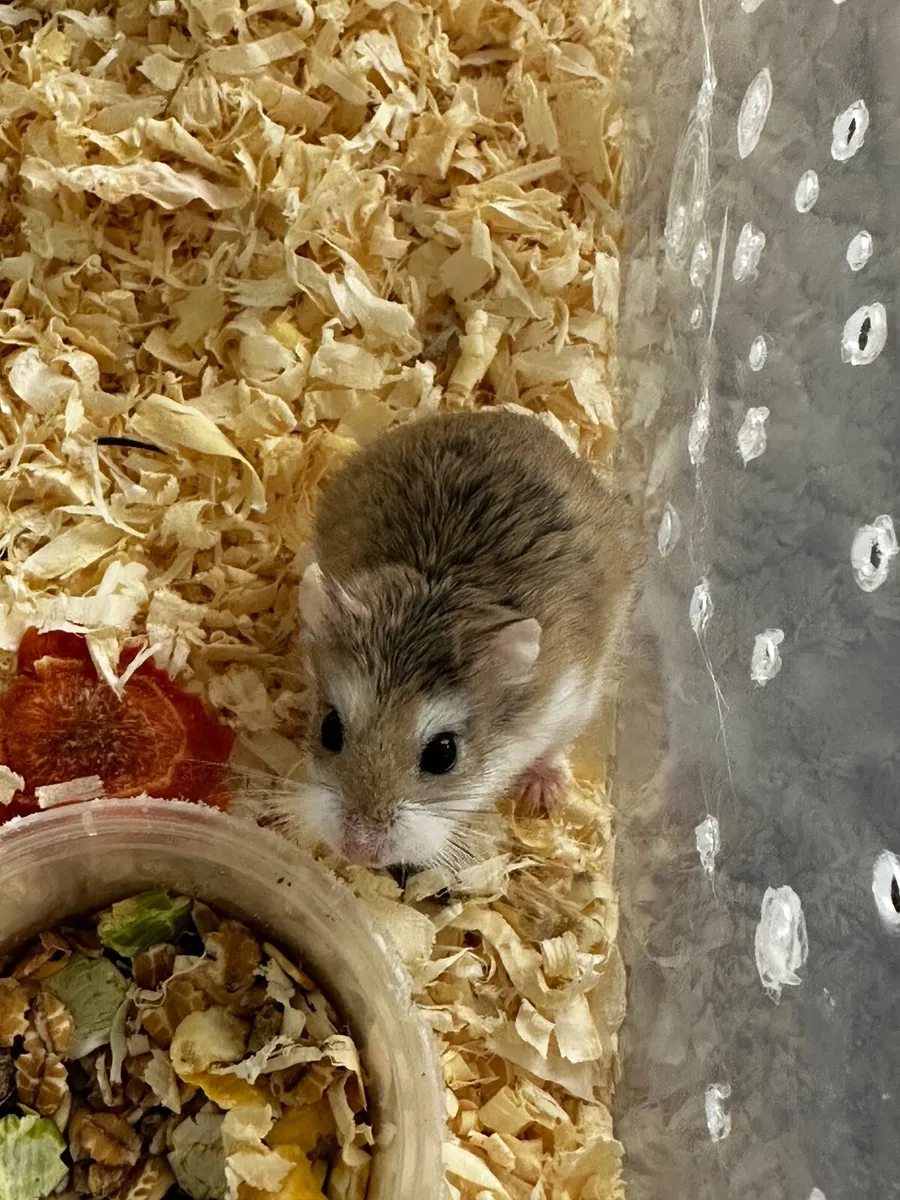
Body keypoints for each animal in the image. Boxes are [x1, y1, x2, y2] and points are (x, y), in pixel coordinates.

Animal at [296, 408, 640, 869]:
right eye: (329, 729)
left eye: (443, 754)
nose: (359, 851)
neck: (432, 608)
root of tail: (496, 416)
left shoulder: (572, 697)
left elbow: (553, 747)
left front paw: (542, 796)